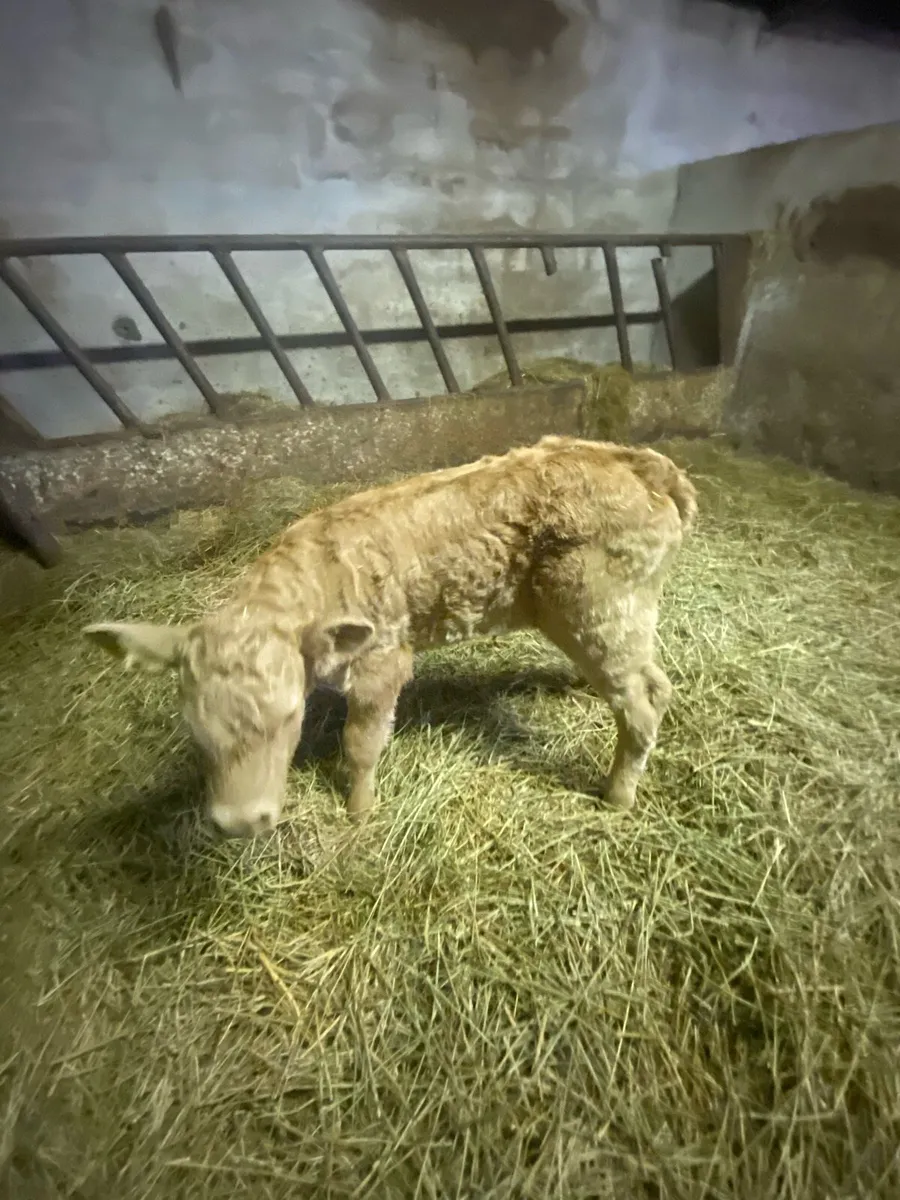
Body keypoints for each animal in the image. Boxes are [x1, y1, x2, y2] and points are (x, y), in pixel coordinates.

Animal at [84, 436, 697, 838]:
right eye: (192, 726)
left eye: (288, 716)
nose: (240, 823)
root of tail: (641, 464)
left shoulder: (382, 660)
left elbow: (361, 743)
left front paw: (358, 811)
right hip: (606, 615)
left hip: (601, 607)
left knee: (645, 699)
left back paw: (616, 796)